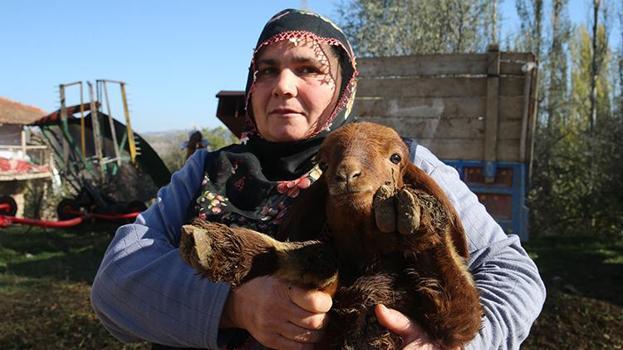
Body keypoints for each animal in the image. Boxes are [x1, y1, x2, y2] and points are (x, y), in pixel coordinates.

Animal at [179, 121, 482, 350]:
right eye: (324, 164)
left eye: (396, 158)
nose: (347, 174)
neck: (366, 257)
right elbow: (322, 258)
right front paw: (220, 247)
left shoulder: (449, 327)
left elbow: (459, 296)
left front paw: (418, 212)